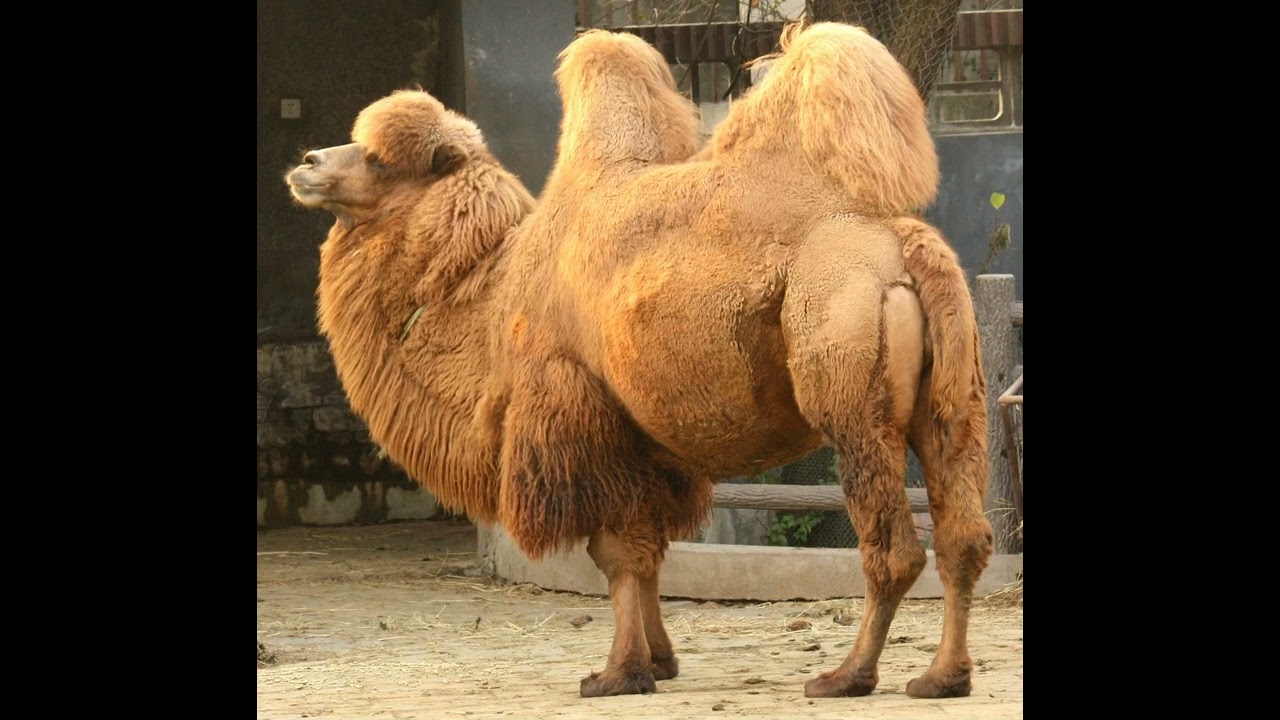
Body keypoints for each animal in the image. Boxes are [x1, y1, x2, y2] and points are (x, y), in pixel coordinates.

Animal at [284, 21, 992, 702]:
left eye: (378, 160)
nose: (307, 163)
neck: (491, 300)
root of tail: (904, 246)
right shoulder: (647, 441)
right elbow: (648, 553)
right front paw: (660, 660)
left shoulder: (581, 418)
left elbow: (615, 554)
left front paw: (616, 673)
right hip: (953, 404)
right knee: (963, 536)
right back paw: (942, 677)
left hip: (849, 391)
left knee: (893, 548)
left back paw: (848, 676)